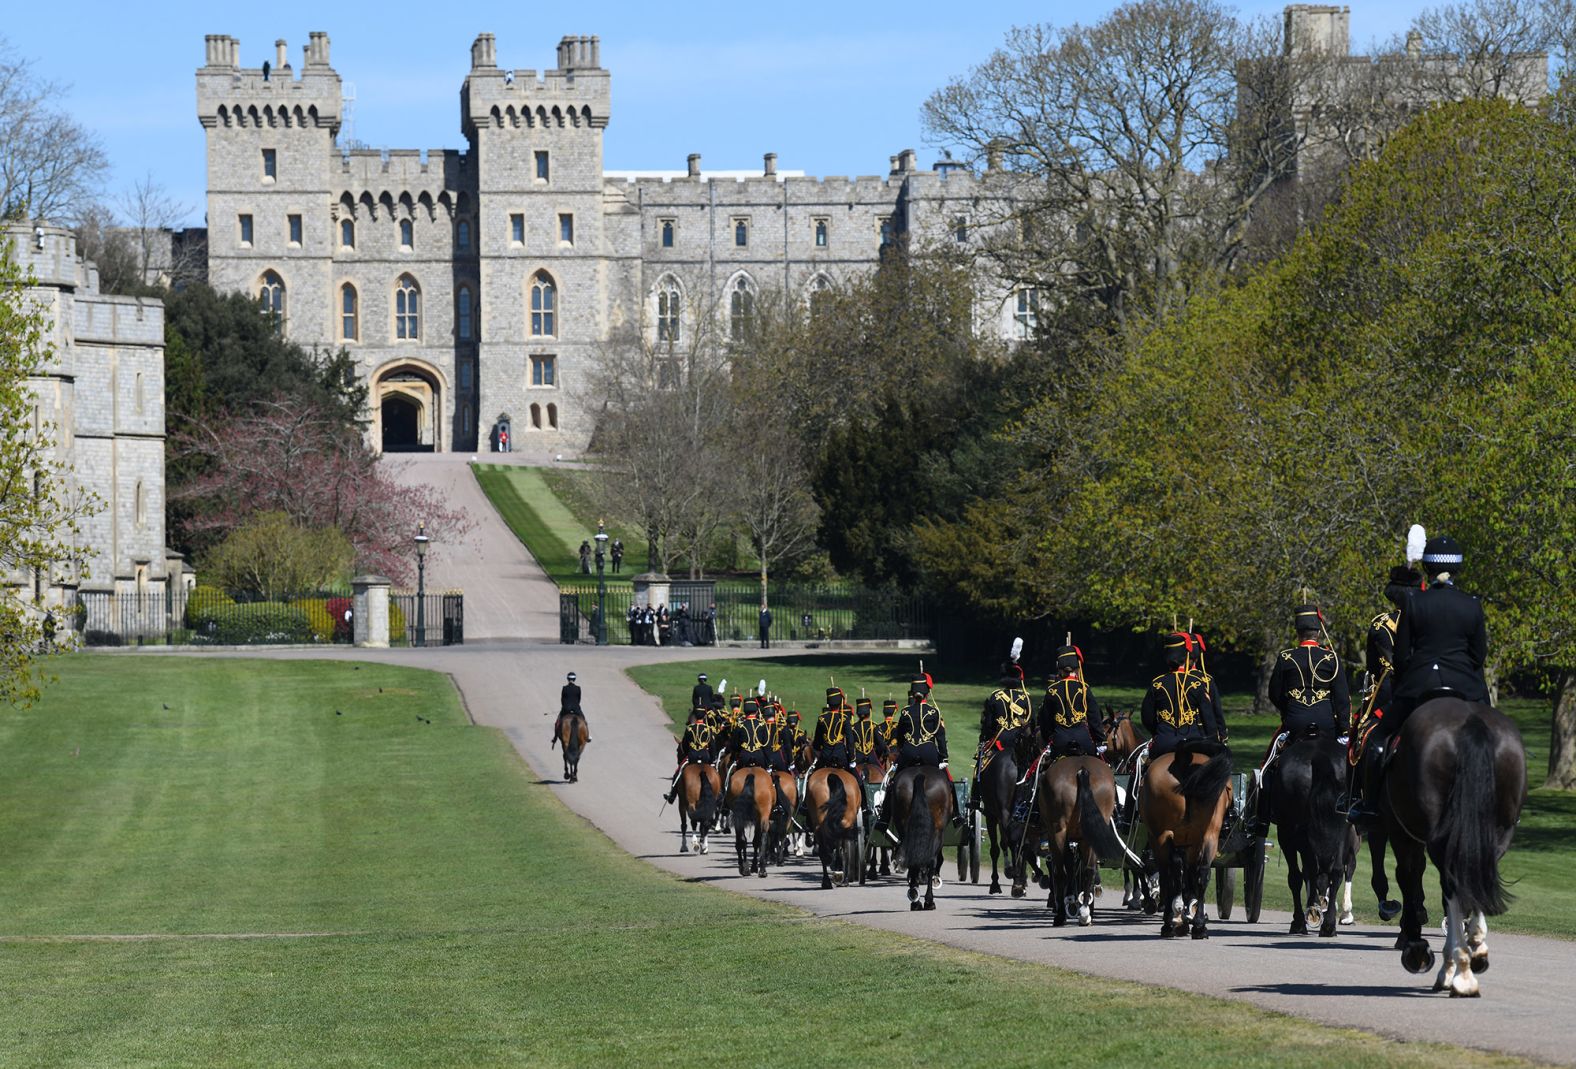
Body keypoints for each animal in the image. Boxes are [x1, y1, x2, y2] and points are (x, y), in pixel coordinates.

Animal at [1040, 756, 1128, 927]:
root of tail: (1082, 770)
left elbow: (1065, 869)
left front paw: (1067, 903)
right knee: (1089, 870)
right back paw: (1085, 913)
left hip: (1058, 831)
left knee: (1061, 872)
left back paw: (1062, 914)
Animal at [1141, 744, 1235, 939]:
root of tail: (1183, 759)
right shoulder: (1192, 843)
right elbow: (1190, 876)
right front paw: (1187, 915)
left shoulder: (1158, 839)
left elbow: (1173, 877)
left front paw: (1176, 917)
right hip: (1209, 835)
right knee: (1203, 873)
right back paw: (1199, 926)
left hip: (1161, 838)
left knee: (1170, 874)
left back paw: (1170, 922)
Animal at [1267, 737, 1355, 939]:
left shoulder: (1287, 836)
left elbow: (1298, 876)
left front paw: (1304, 917)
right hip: (1342, 830)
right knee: (1336, 871)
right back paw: (1328, 925)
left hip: (1289, 832)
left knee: (1302, 874)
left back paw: (1305, 919)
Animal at [1380, 700, 1525, 1002]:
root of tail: (1471, 721)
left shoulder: (1401, 834)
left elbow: (1410, 879)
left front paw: (1416, 948)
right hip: (1497, 834)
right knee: (1474, 879)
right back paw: (1474, 952)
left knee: (1452, 885)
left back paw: (1460, 971)